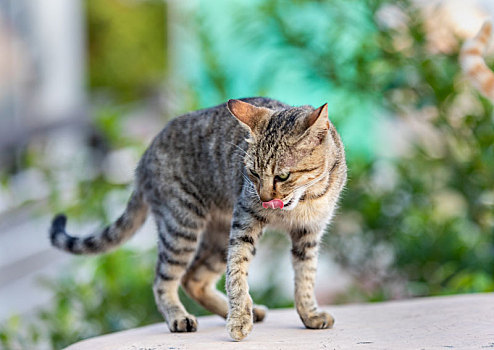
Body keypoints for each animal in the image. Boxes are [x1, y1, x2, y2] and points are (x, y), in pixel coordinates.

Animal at [49, 97, 348, 340]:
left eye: (282, 176)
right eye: (252, 173)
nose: (263, 197)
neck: (302, 202)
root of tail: (143, 159)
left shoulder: (309, 234)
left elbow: (305, 278)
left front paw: (309, 314)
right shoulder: (244, 221)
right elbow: (237, 275)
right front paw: (239, 320)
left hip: (215, 238)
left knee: (193, 278)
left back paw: (247, 311)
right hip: (182, 228)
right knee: (164, 280)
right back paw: (180, 317)